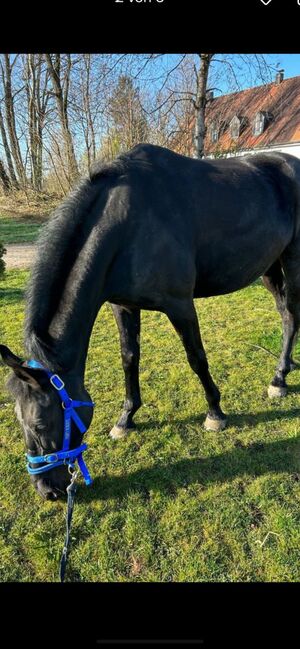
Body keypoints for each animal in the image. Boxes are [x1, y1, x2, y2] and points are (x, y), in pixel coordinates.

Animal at [0, 144, 300, 498]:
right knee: (286, 314)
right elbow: (130, 359)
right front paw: (126, 418)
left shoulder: (180, 305)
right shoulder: (123, 306)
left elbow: (196, 358)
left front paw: (215, 413)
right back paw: (285, 368)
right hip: (269, 267)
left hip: (292, 260)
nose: (48, 490)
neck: (127, 225)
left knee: (291, 314)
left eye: (40, 424)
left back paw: (279, 380)